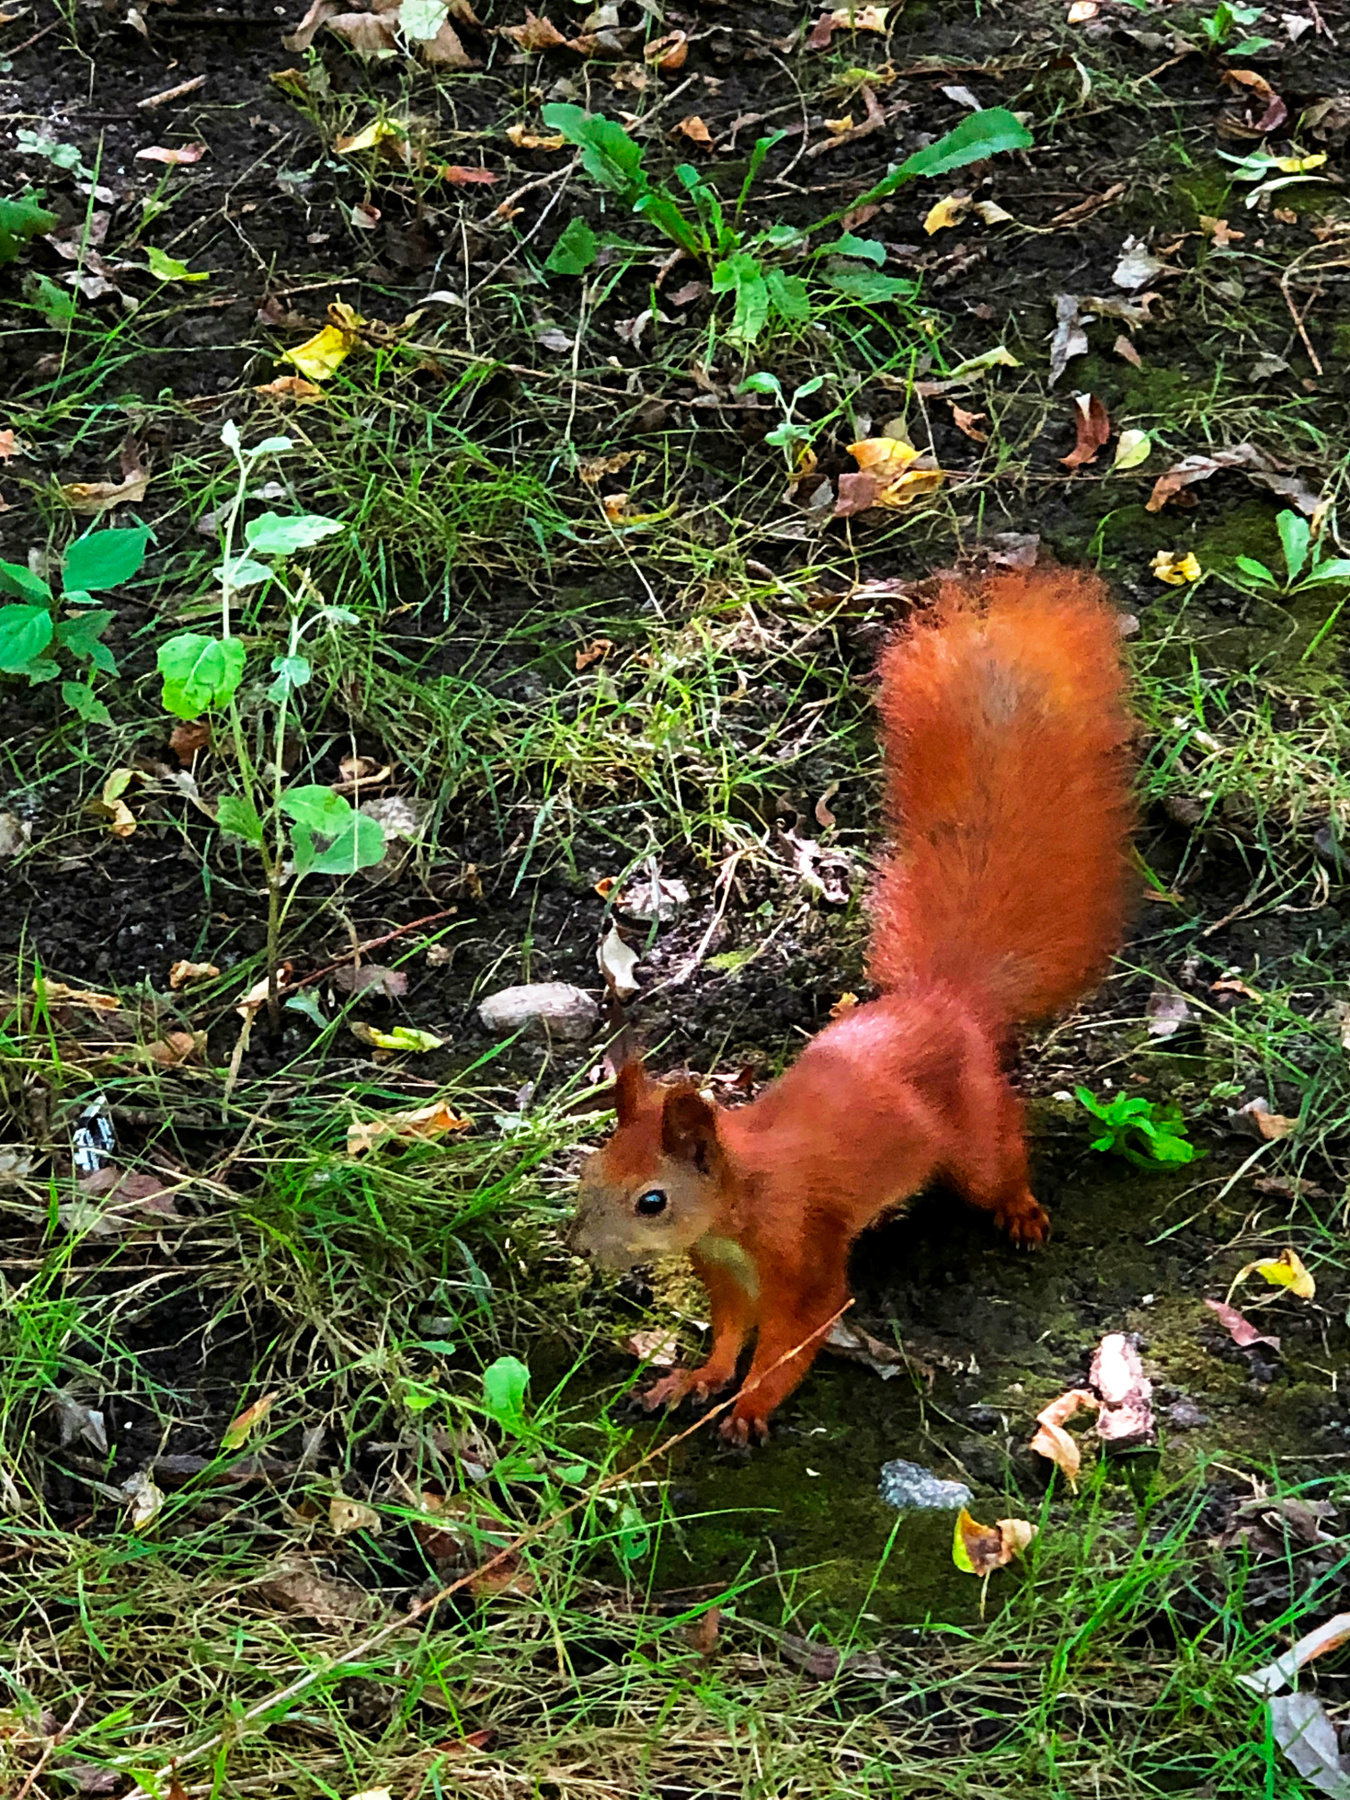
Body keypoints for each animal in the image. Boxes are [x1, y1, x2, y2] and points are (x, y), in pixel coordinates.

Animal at [568, 567, 1137, 1445]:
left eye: (652, 1200)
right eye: (590, 1170)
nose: (585, 1251)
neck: (739, 1199)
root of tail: (945, 999)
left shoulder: (803, 1257)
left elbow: (792, 1339)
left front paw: (751, 1406)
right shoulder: (723, 1272)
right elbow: (730, 1333)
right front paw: (696, 1379)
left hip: (973, 1136)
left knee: (1000, 1160)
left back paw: (1019, 1209)